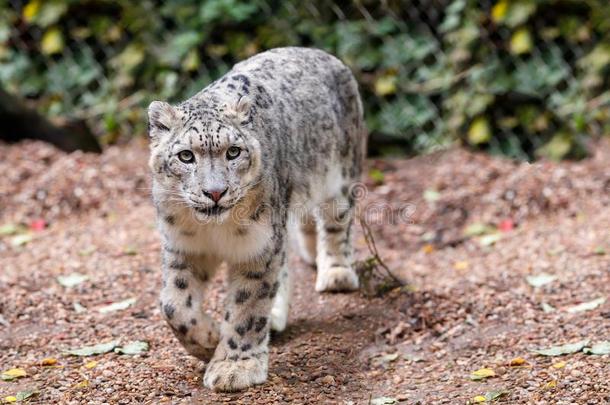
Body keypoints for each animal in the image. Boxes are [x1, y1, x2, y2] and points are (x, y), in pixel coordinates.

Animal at [147, 45, 366, 390]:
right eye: (186, 156)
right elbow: (173, 304)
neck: (215, 232)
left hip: (342, 175)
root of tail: (317, 52)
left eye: (233, 152)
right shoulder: (183, 246)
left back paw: (336, 274)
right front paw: (208, 339)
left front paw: (234, 367)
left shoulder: (257, 247)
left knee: (336, 224)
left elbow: (247, 307)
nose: (215, 192)